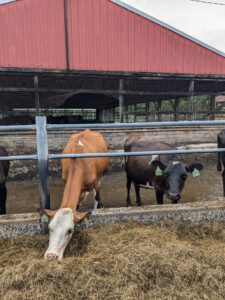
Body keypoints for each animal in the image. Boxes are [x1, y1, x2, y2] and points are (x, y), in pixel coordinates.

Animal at [40, 129, 109, 260]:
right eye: (50, 228)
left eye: (70, 230)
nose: (51, 256)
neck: (79, 162)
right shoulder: (65, 180)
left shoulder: (96, 184)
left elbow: (97, 197)